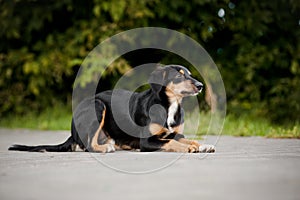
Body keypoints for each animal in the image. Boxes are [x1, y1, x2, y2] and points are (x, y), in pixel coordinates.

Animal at [8, 65, 216, 152]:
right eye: (179, 76)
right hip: (97, 106)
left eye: (189, 74)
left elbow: (186, 139)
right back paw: (105, 148)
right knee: (89, 146)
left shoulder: (176, 133)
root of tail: (72, 133)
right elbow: (171, 142)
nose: (201, 86)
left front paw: (202, 145)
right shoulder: (147, 141)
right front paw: (190, 148)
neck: (169, 105)